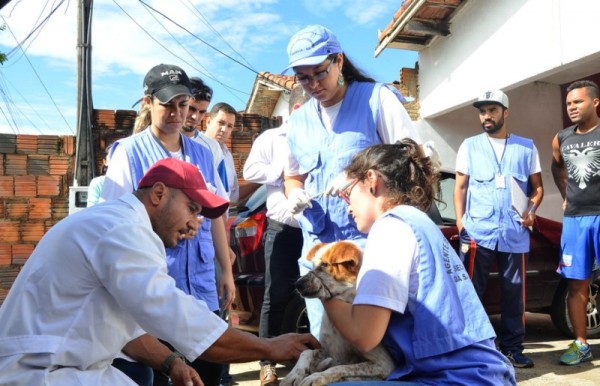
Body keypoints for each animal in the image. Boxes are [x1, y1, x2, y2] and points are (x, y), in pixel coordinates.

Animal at [280, 241, 396, 386]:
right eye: (312, 265)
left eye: (324, 265)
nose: (297, 284)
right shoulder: (327, 350)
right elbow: (306, 351)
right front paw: (294, 374)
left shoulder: (384, 364)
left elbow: (341, 367)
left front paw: (317, 376)